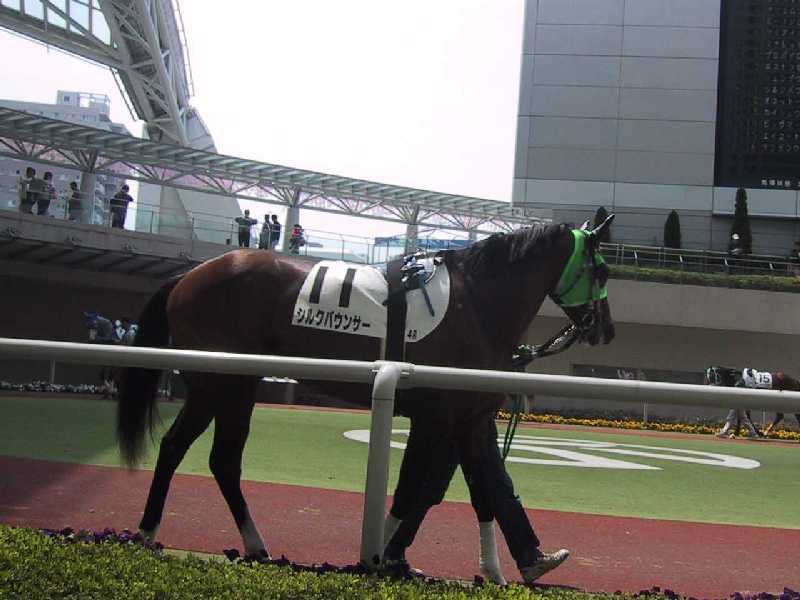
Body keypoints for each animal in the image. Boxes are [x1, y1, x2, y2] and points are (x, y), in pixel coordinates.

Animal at [116, 216, 616, 584]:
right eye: (603, 269)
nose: (606, 329)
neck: (475, 302)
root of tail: (189, 275)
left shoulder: (469, 417)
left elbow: (484, 490)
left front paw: (503, 566)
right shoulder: (438, 417)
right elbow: (417, 488)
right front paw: (383, 557)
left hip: (226, 386)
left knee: (202, 454)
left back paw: (225, 542)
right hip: (222, 383)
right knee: (196, 452)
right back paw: (164, 533)